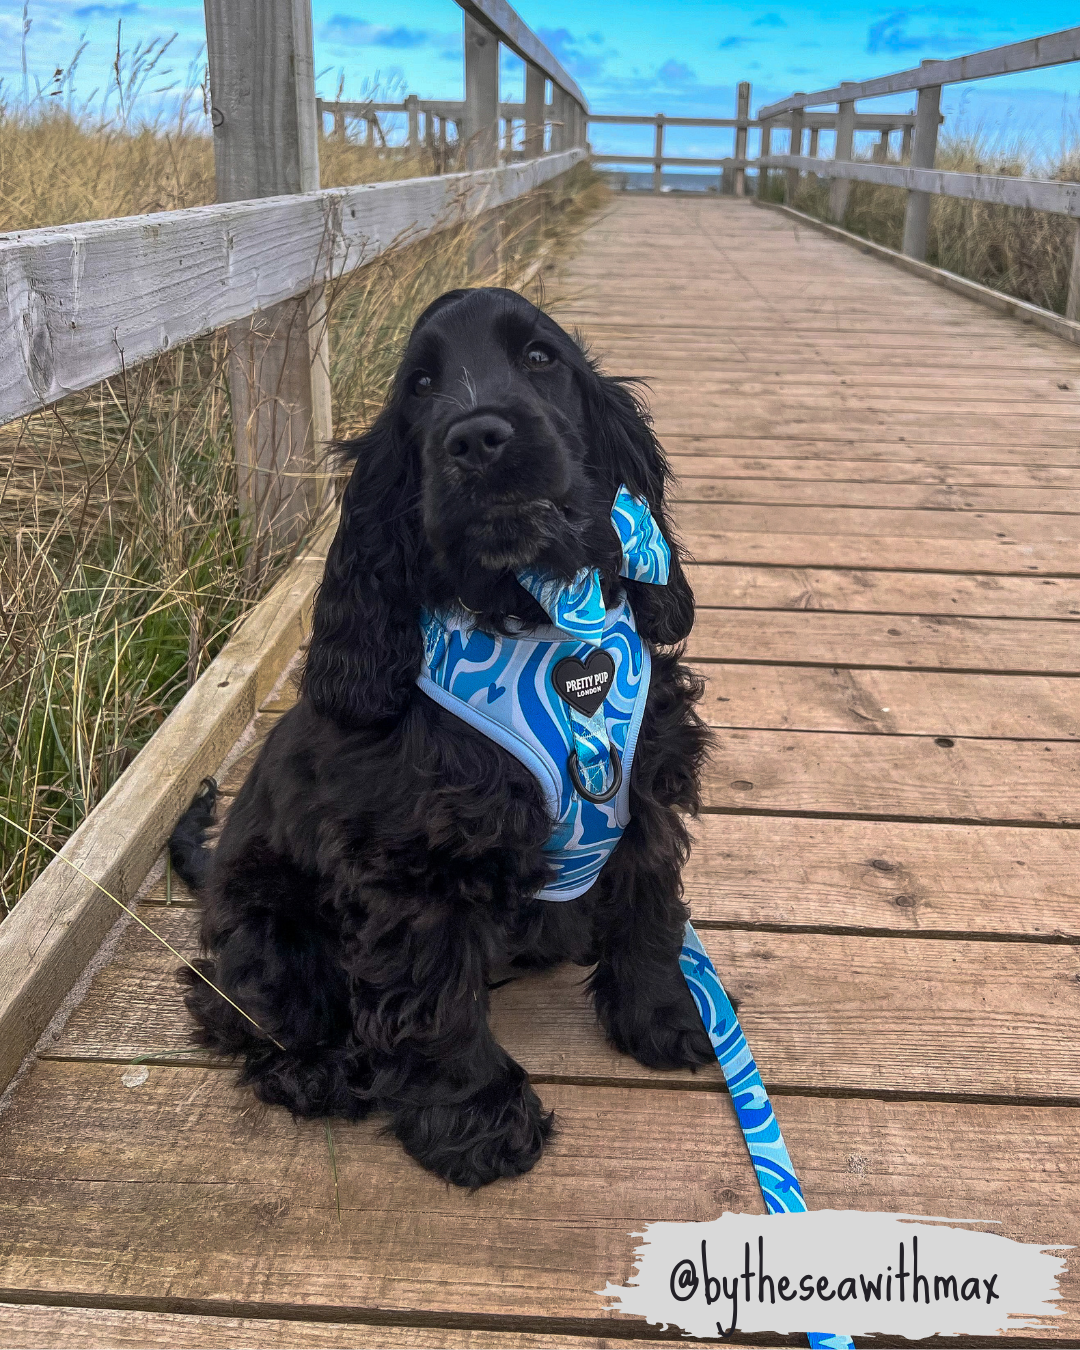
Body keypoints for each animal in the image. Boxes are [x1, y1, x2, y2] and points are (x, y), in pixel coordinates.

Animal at [172, 282, 712, 1182]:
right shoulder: (417, 864)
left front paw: (667, 1016)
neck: (543, 626)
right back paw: (323, 1072)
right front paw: (479, 1123)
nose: (478, 438)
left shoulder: (642, 791)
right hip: (268, 919)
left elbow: (648, 909)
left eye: (540, 357)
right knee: (243, 1010)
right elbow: (437, 1002)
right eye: (420, 388)